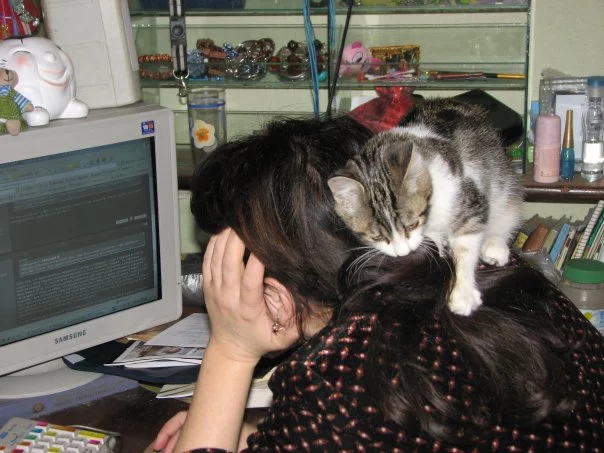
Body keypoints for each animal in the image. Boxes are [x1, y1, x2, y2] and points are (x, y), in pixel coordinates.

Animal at [328, 98, 523, 316]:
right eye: (377, 237)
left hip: (502, 181)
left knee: (506, 210)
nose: (402, 253)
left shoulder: (466, 195)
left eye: (411, 225)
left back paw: (495, 245)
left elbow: (465, 244)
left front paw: (461, 294)